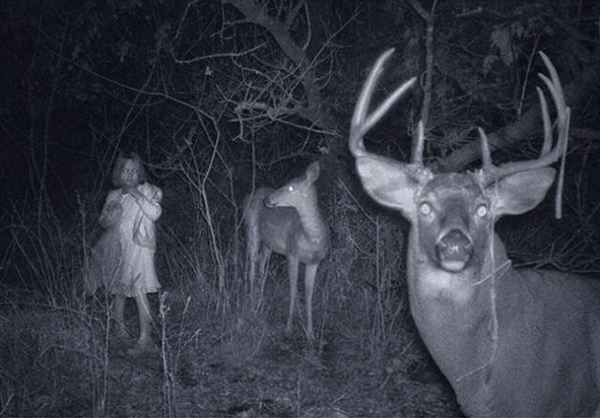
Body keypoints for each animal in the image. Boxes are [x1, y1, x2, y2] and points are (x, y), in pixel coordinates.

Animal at [243, 160, 328, 340]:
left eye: (290, 188)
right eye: (286, 183)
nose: (268, 199)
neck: (312, 239)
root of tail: (250, 195)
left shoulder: (314, 262)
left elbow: (309, 293)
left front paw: (310, 333)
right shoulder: (292, 253)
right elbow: (293, 289)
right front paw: (289, 328)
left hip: (269, 243)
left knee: (261, 265)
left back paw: (260, 299)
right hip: (251, 229)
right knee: (252, 264)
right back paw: (252, 303)